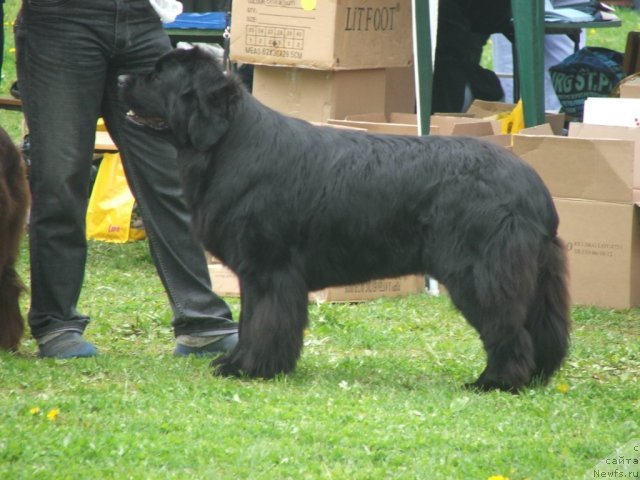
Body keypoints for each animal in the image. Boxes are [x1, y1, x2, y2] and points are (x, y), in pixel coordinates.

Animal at [119, 45, 568, 392]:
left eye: (157, 75)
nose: (121, 76)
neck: (228, 144)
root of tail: (533, 185)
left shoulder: (269, 269)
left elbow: (263, 323)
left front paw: (250, 369)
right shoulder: (254, 272)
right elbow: (247, 321)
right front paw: (238, 364)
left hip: (479, 273)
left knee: (508, 329)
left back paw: (496, 382)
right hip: (538, 276)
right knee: (542, 329)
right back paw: (535, 377)